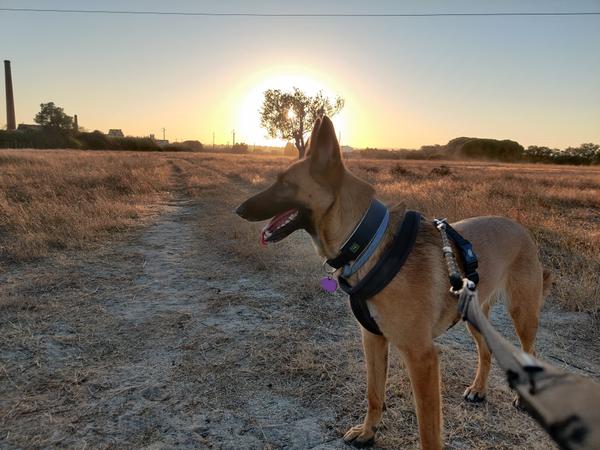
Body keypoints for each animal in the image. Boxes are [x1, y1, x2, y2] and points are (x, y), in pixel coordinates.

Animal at [236, 117, 552, 450]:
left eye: (284, 182)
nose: (239, 210)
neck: (367, 243)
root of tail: (520, 227)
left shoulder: (422, 358)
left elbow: (428, 431)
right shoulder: (373, 340)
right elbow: (374, 394)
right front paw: (368, 432)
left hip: (522, 313)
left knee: (530, 351)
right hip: (473, 317)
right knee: (486, 351)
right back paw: (479, 389)